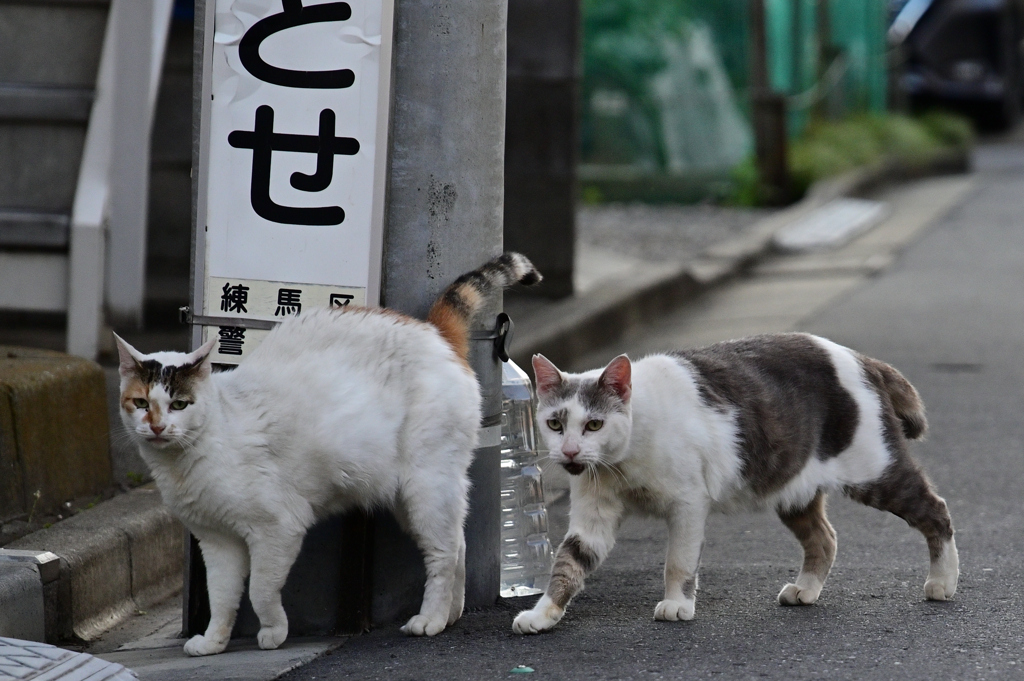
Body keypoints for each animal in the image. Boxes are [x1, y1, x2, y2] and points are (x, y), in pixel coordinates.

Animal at [115, 253, 540, 655]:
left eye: (179, 404)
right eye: (140, 403)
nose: (156, 426)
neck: (188, 459)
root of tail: (434, 332)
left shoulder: (278, 527)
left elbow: (260, 591)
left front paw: (273, 633)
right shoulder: (217, 542)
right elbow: (222, 598)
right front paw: (213, 642)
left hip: (426, 487)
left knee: (443, 552)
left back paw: (431, 619)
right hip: (412, 497)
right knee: (459, 543)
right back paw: (451, 613)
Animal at [516, 331, 954, 634]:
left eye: (594, 424)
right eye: (554, 424)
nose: (570, 452)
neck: (620, 463)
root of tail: (861, 358)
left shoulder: (688, 504)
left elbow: (678, 562)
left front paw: (677, 605)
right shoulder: (593, 516)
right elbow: (568, 562)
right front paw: (543, 613)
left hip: (875, 472)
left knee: (936, 510)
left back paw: (942, 581)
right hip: (792, 487)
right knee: (824, 538)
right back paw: (806, 589)